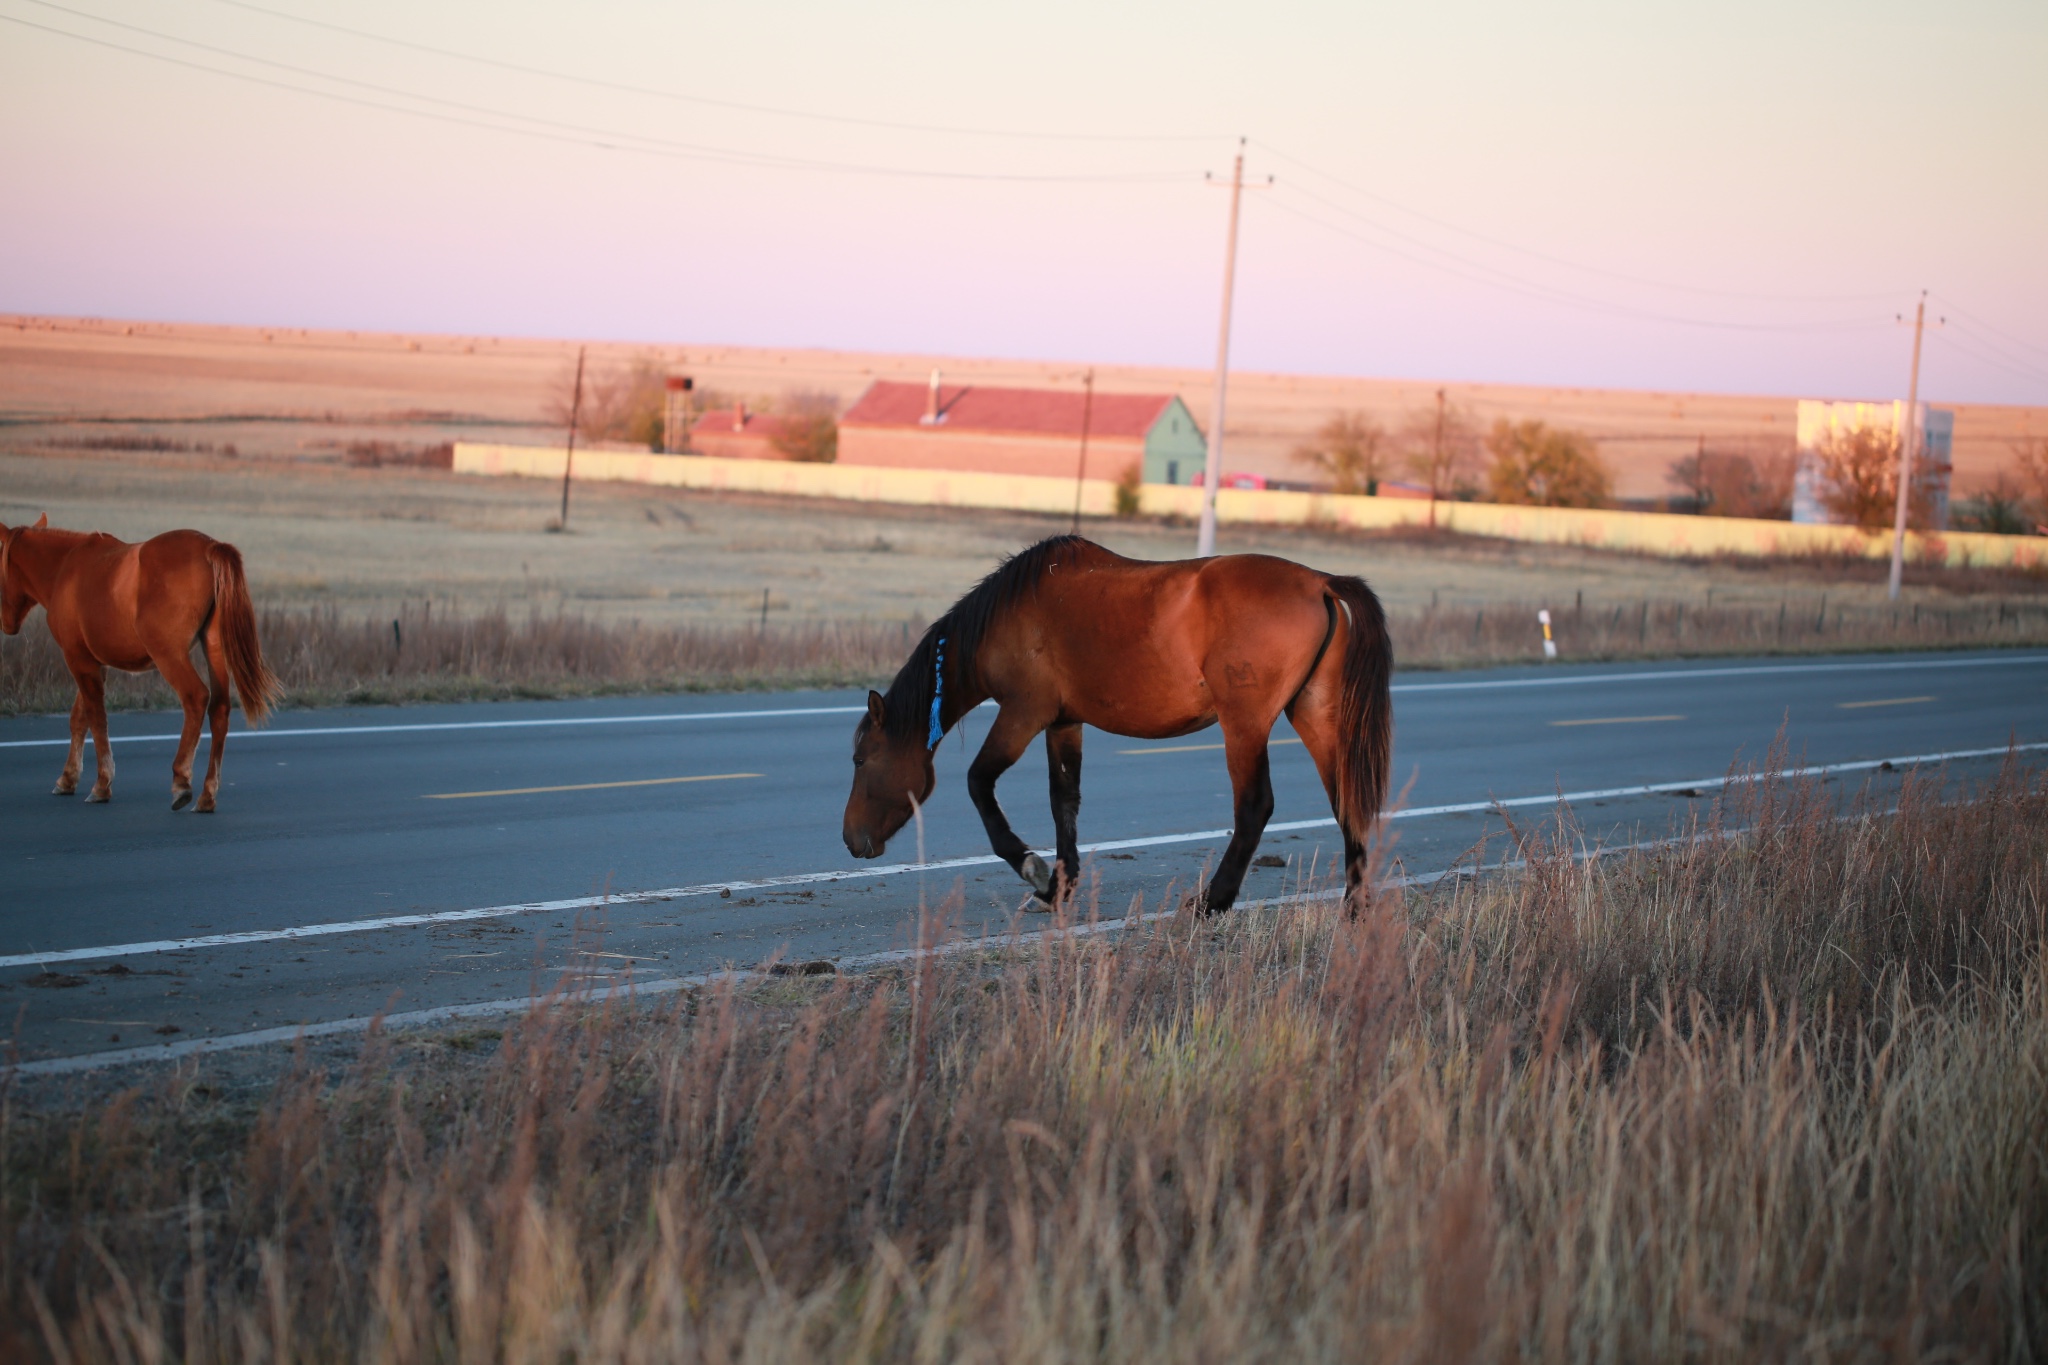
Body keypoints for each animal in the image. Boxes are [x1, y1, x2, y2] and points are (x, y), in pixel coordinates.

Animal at [0, 515, 280, 810]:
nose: (6, 624)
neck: (64, 570)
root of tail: (210, 547)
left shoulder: (78, 659)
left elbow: (96, 718)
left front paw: (102, 784)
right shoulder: (97, 663)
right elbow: (79, 718)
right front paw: (67, 779)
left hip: (168, 654)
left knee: (196, 698)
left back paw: (181, 781)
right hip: (213, 646)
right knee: (219, 708)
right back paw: (207, 795)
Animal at [843, 536, 1392, 916]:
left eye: (860, 759)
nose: (850, 839)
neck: (1008, 615)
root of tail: (1319, 581)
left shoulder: (1023, 713)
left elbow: (980, 784)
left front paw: (1034, 871)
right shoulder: (1064, 723)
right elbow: (1063, 801)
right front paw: (1058, 888)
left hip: (1245, 724)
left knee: (1254, 806)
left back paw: (1211, 901)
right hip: (1314, 713)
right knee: (1345, 798)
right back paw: (1354, 904)